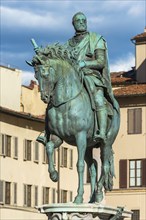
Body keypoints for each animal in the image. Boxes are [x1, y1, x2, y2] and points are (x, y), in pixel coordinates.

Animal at [28, 43, 120, 205]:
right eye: (35, 76)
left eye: (45, 74)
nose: (45, 97)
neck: (65, 103)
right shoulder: (58, 137)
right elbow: (49, 147)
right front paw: (54, 175)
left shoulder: (80, 137)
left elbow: (79, 165)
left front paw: (78, 197)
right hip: (90, 145)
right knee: (94, 166)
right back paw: (92, 198)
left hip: (106, 142)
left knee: (105, 165)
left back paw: (98, 193)